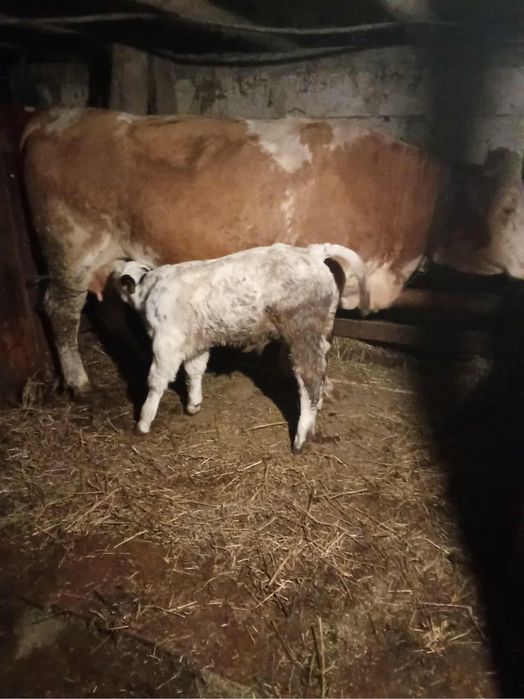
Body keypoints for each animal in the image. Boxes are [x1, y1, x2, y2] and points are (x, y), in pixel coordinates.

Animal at [21, 107, 524, 396]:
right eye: (507, 207)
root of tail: (57, 115)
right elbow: (321, 330)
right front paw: (315, 378)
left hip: (110, 254)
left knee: (103, 308)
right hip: (71, 247)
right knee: (60, 310)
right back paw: (79, 383)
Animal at [114, 243, 367, 452]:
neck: (150, 289)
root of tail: (311, 252)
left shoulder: (166, 343)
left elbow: (156, 382)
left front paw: (143, 422)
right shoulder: (197, 343)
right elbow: (194, 371)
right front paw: (194, 405)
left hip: (303, 331)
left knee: (310, 381)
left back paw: (301, 439)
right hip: (322, 331)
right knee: (322, 371)